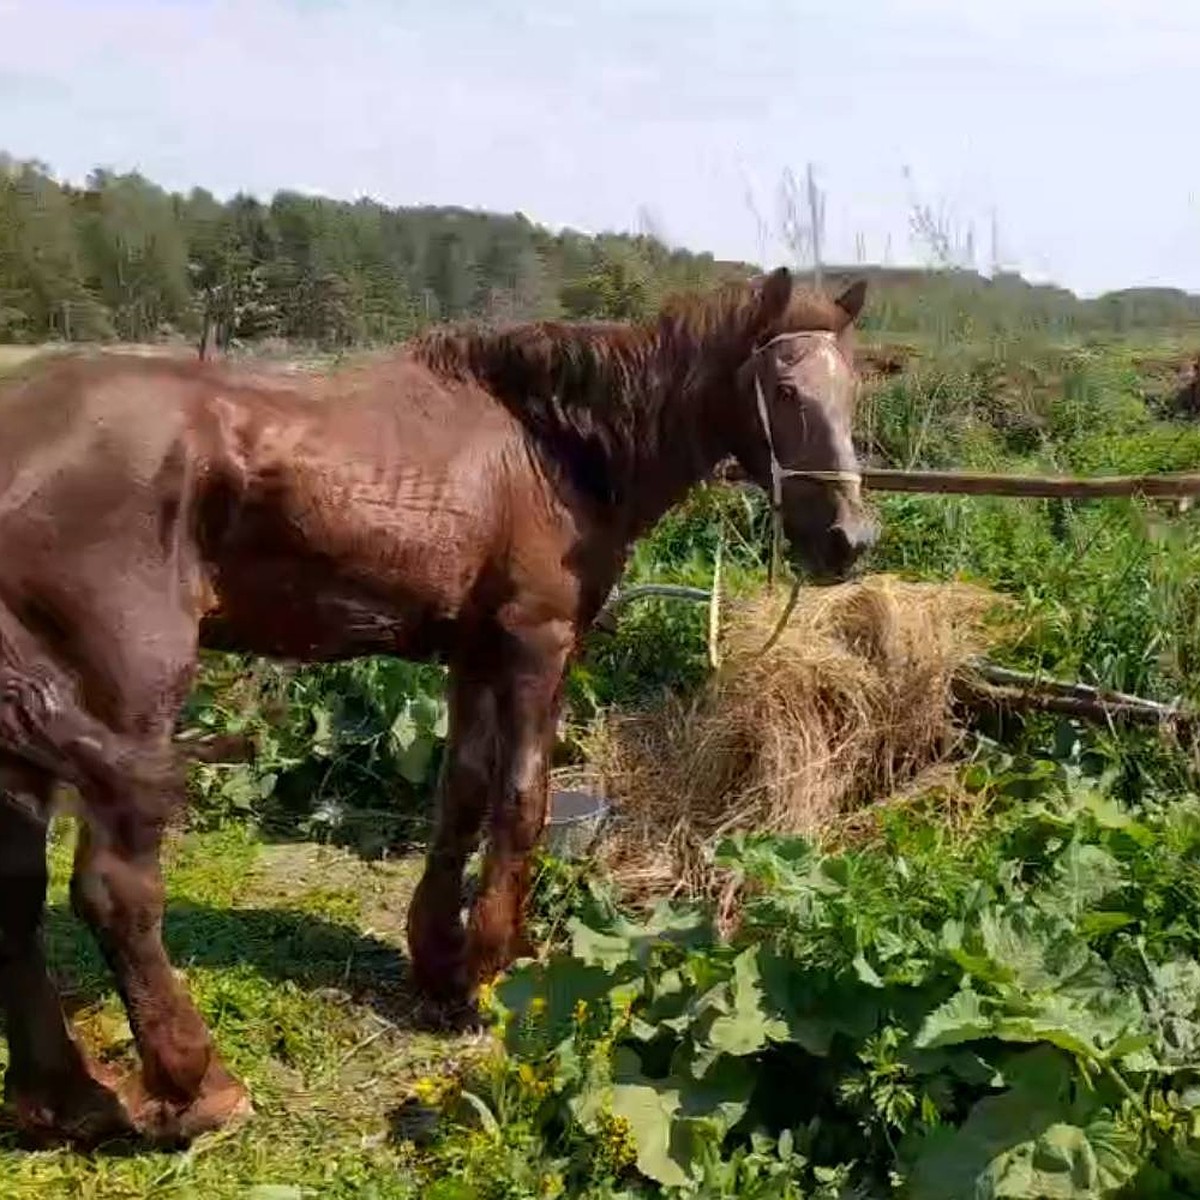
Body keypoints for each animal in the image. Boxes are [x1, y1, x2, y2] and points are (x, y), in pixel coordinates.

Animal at [2, 262, 883, 1142]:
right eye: (784, 389)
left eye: (852, 391)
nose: (848, 539)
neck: (548, 448)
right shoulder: (535, 647)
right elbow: (520, 802)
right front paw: (490, 969)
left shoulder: (471, 655)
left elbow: (458, 797)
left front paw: (438, 957)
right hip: (128, 698)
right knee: (114, 891)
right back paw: (199, 1085)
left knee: (18, 888)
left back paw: (65, 1099)